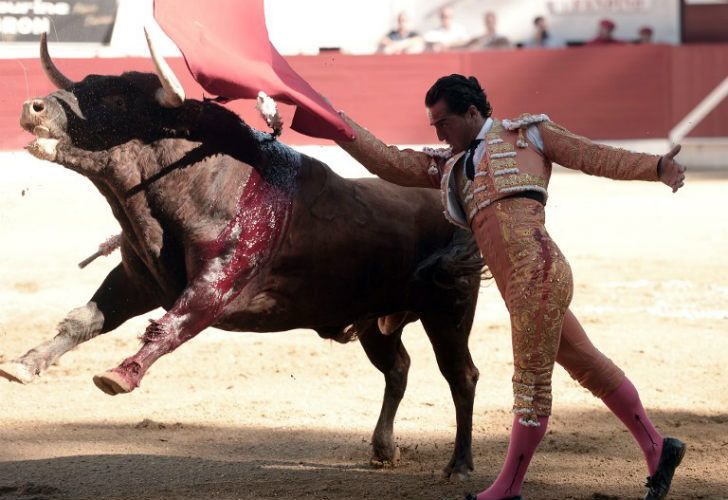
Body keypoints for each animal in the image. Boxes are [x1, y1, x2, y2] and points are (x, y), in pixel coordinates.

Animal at [2, 33, 486, 478]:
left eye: (116, 99)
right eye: (83, 83)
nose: (33, 108)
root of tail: (450, 198)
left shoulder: (216, 285)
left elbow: (171, 325)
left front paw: (120, 374)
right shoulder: (136, 279)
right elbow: (85, 319)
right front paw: (24, 365)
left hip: (448, 309)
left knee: (460, 376)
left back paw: (460, 464)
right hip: (374, 319)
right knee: (398, 368)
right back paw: (384, 448)